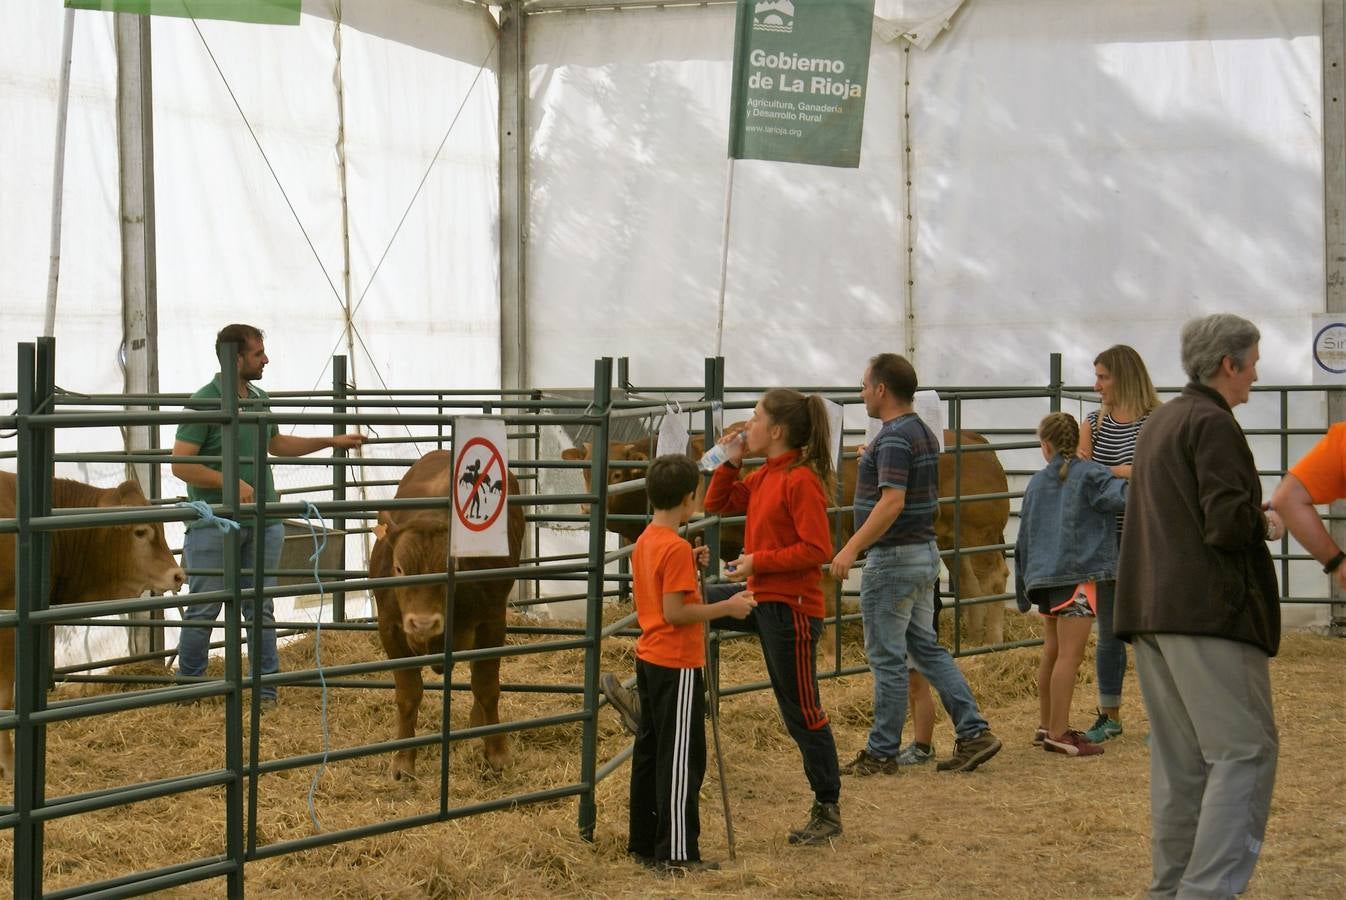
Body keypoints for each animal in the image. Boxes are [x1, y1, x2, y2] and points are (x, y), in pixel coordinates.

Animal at [376, 449, 527, 780]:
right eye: (398, 568)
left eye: (452, 567)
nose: (423, 623)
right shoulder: (390, 628)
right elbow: (408, 695)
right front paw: (403, 760)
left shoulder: (492, 622)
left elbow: (487, 687)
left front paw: (497, 752)